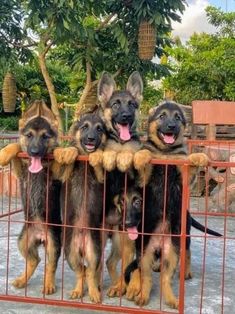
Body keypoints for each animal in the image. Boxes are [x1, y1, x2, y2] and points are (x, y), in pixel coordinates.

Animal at [0, 100, 61, 294]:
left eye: (45, 136)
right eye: (29, 135)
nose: (34, 152)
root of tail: (40, 235)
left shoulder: (55, 175)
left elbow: (57, 154)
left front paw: (62, 151)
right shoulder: (20, 172)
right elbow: (16, 147)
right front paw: (6, 152)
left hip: (53, 242)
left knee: (51, 264)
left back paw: (48, 284)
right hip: (22, 241)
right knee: (35, 260)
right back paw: (21, 280)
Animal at [53, 112, 106, 302]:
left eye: (100, 129)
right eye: (84, 127)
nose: (91, 139)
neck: (85, 161)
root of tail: (82, 243)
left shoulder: (102, 179)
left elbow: (99, 163)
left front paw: (98, 154)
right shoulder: (64, 175)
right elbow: (71, 157)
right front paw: (70, 151)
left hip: (95, 251)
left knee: (89, 271)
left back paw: (94, 293)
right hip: (70, 253)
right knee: (80, 272)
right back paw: (78, 290)